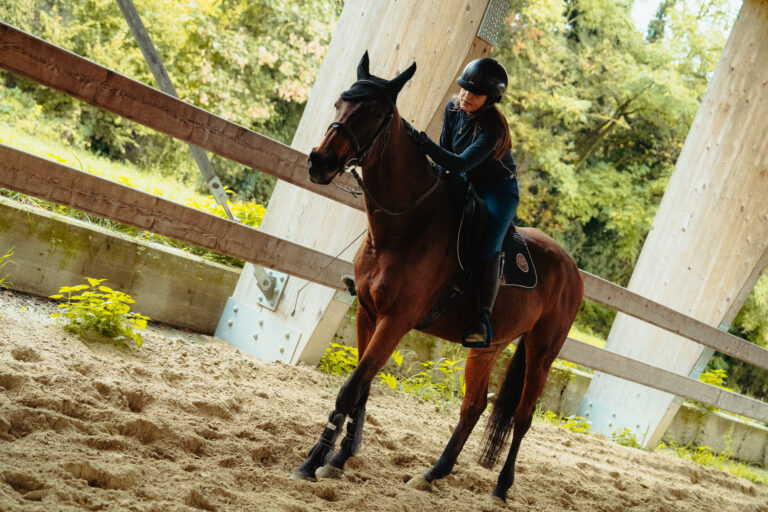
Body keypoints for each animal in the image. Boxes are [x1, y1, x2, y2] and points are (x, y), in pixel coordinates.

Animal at [292, 52, 584, 503]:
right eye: (340, 102)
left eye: (374, 113)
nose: (319, 162)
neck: (405, 224)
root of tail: (571, 268)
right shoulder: (369, 313)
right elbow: (362, 386)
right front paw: (339, 458)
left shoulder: (395, 320)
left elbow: (351, 388)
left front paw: (313, 461)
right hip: (489, 346)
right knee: (474, 406)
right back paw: (432, 473)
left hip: (542, 350)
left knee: (522, 415)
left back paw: (501, 488)